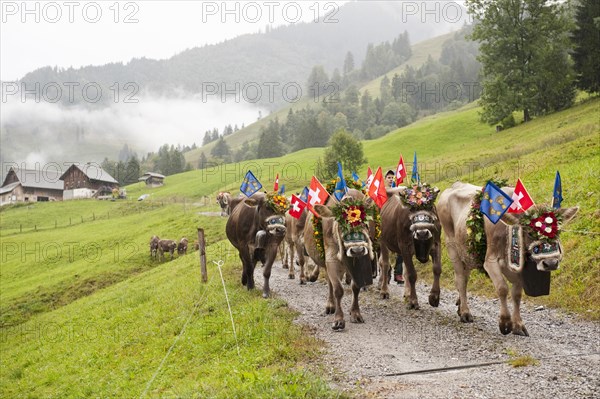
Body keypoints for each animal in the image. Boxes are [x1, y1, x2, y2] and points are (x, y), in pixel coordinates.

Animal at [304, 191, 376, 332]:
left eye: (364, 223)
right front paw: (338, 320)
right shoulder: (331, 260)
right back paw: (330, 305)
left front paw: (355, 313)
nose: (357, 250)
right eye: (342, 224)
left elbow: (355, 287)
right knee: (330, 283)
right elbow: (338, 289)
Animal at [438, 183, 580, 336]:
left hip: (467, 253)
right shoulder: (490, 261)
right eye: (529, 233)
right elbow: (502, 288)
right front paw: (505, 322)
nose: (551, 263)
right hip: (452, 246)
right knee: (461, 280)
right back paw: (465, 312)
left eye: (557, 231)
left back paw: (460, 306)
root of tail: (454, 185)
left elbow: (517, 294)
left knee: (463, 277)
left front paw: (518, 325)